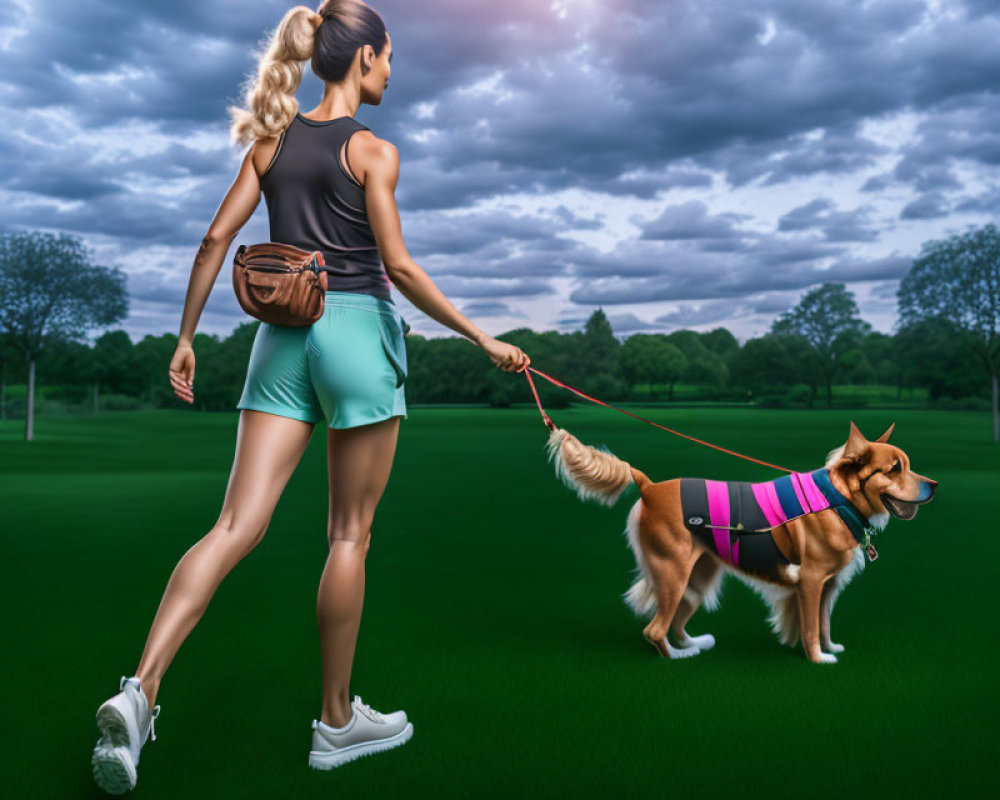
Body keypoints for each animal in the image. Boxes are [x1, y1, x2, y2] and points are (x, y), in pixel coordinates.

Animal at [544, 418, 932, 664]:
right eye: (895, 469)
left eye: (908, 464)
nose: (935, 485)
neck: (837, 498)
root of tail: (648, 486)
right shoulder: (809, 582)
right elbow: (809, 627)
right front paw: (817, 659)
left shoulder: (828, 586)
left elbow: (822, 623)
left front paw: (828, 648)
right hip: (674, 573)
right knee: (654, 629)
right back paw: (678, 657)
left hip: (698, 575)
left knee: (675, 623)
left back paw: (693, 643)